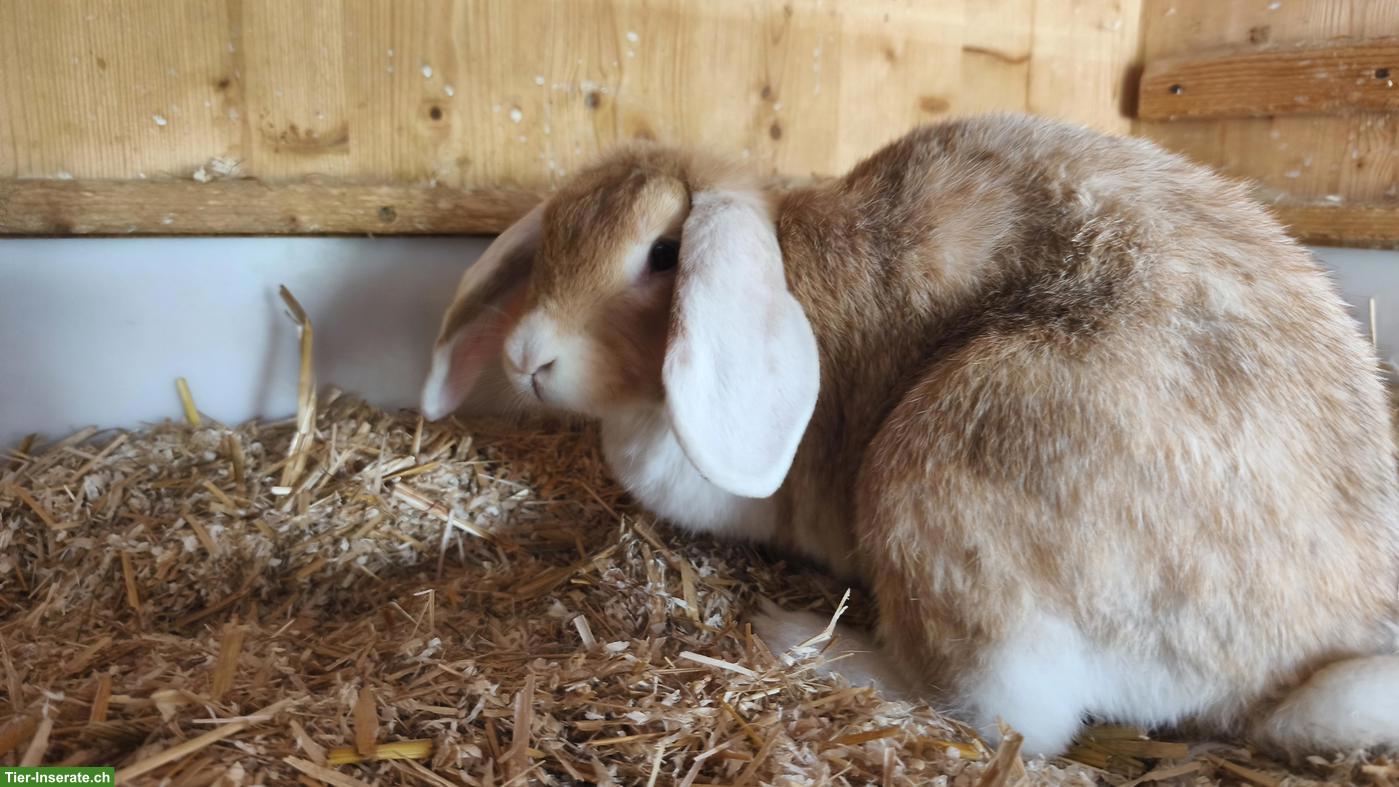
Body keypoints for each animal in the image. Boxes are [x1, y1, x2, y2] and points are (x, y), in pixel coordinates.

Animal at [420, 113, 1399, 757]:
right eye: (552, 237)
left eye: (662, 253)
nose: (526, 357)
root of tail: (1281, 666)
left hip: (940, 475)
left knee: (1003, 719)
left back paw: (806, 640)